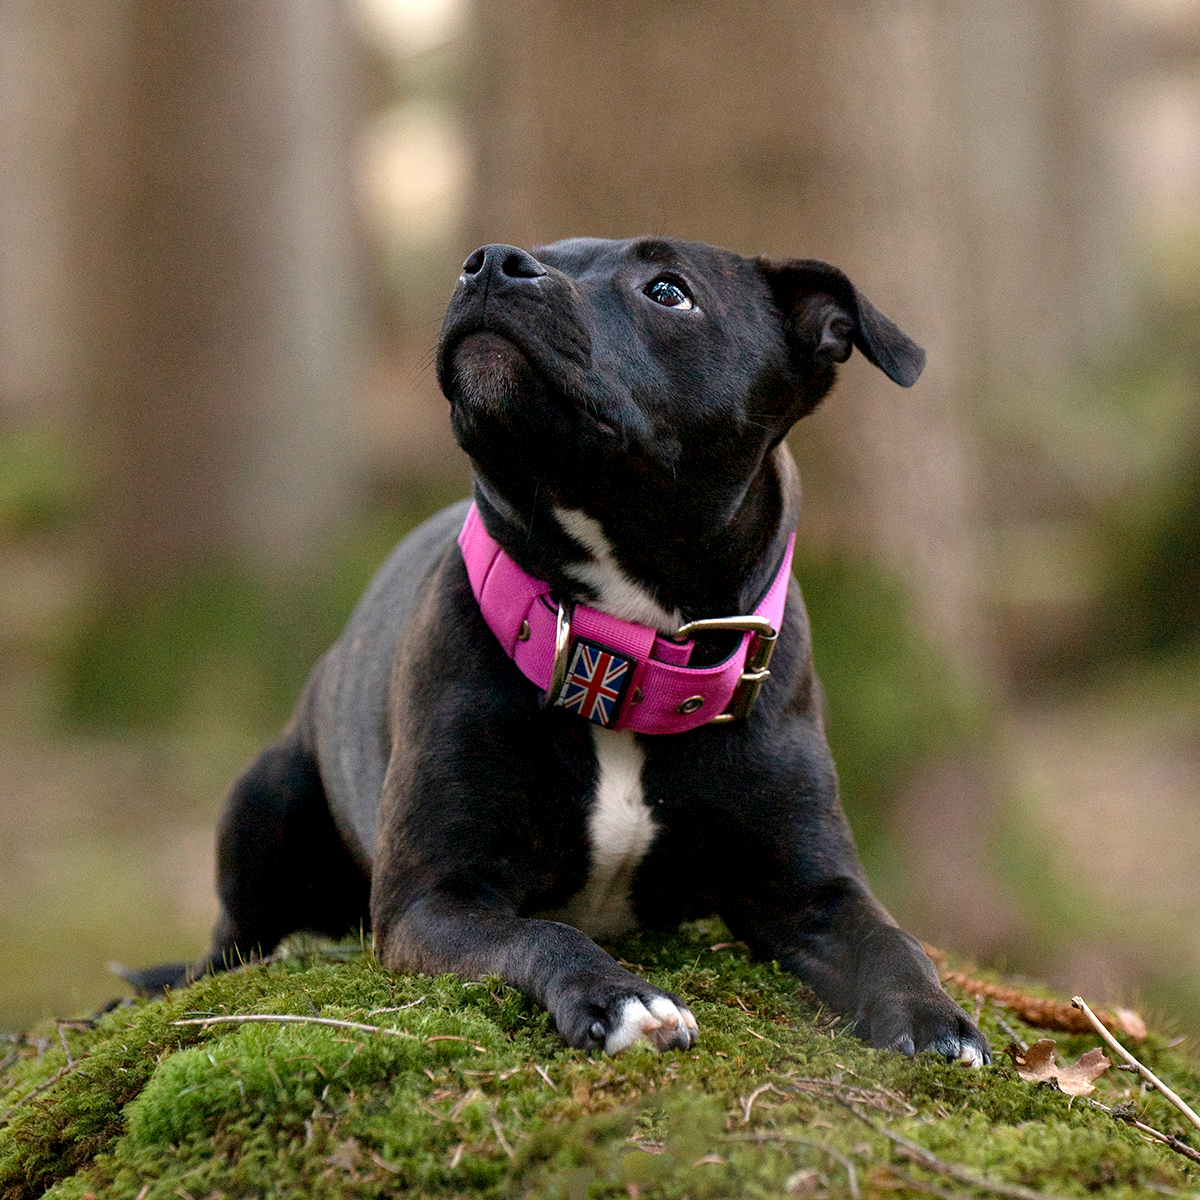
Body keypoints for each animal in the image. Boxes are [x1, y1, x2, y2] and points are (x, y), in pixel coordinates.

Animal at [133, 238, 993, 1065]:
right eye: (544, 249)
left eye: (669, 291)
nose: (490, 261)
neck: (623, 650)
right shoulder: (432, 899)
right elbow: (542, 932)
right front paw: (622, 999)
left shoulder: (814, 891)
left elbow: (893, 942)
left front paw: (937, 1021)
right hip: (265, 799)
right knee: (229, 944)